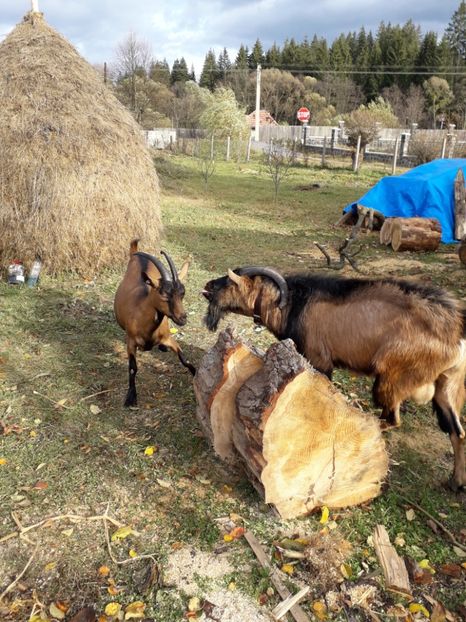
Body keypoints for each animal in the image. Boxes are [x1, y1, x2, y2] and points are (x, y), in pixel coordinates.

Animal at [115, 240, 195, 410]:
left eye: (182, 293)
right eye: (163, 293)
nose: (182, 318)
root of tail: (135, 253)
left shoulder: (168, 338)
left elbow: (185, 360)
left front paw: (196, 374)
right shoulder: (130, 342)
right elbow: (133, 368)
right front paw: (131, 397)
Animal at [203, 268, 466, 492]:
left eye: (229, 281)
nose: (207, 285)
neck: (295, 304)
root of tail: (455, 334)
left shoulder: (319, 360)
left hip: (393, 376)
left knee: (392, 418)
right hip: (446, 386)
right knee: (457, 431)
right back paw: (455, 482)